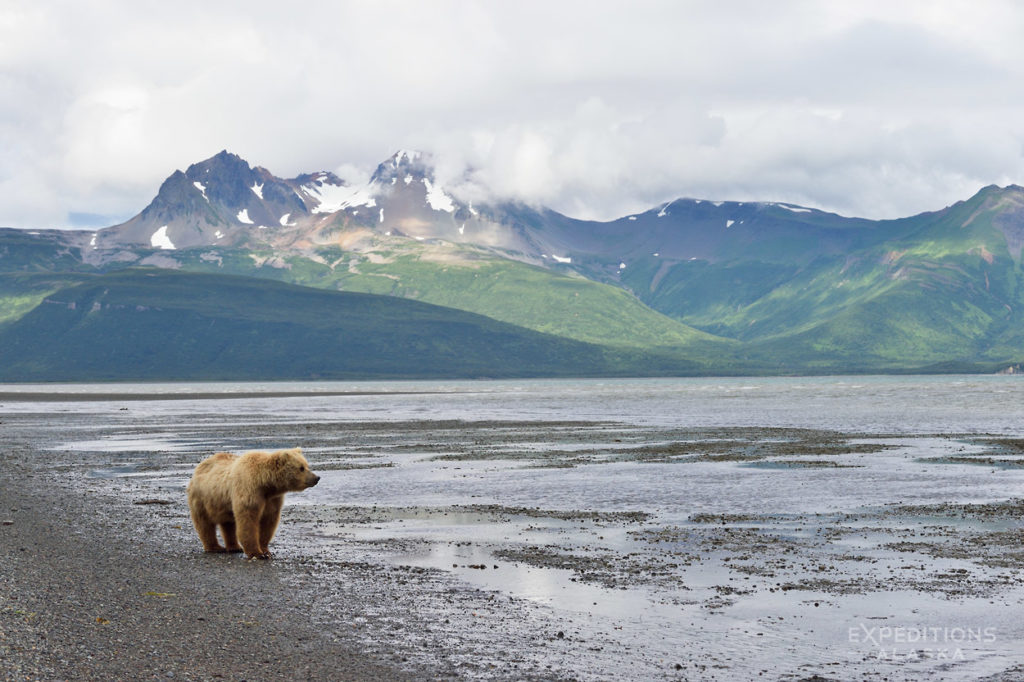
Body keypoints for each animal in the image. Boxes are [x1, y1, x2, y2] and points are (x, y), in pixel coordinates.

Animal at [188, 446, 319, 557]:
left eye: (307, 465)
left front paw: (265, 550)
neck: (265, 484)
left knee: (228, 524)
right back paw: (215, 547)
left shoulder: (271, 499)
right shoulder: (249, 491)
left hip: (223, 504)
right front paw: (257, 553)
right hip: (202, 499)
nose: (316, 478)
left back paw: (235, 547)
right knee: (204, 524)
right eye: (301, 468)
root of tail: (199, 467)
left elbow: (268, 522)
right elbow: (248, 521)